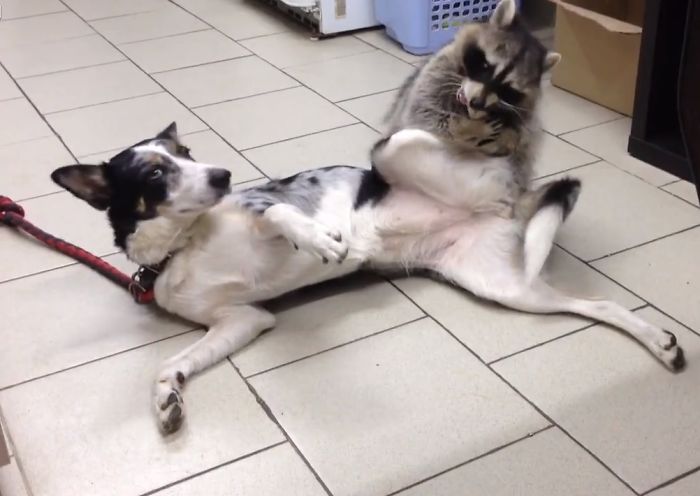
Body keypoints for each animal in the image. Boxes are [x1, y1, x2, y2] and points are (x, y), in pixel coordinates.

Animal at [385, 0, 560, 193]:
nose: (477, 103)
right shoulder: (435, 76)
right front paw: (467, 128)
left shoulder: (526, 117)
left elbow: (520, 142)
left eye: (507, 88)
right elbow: (426, 115)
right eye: (485, 66)